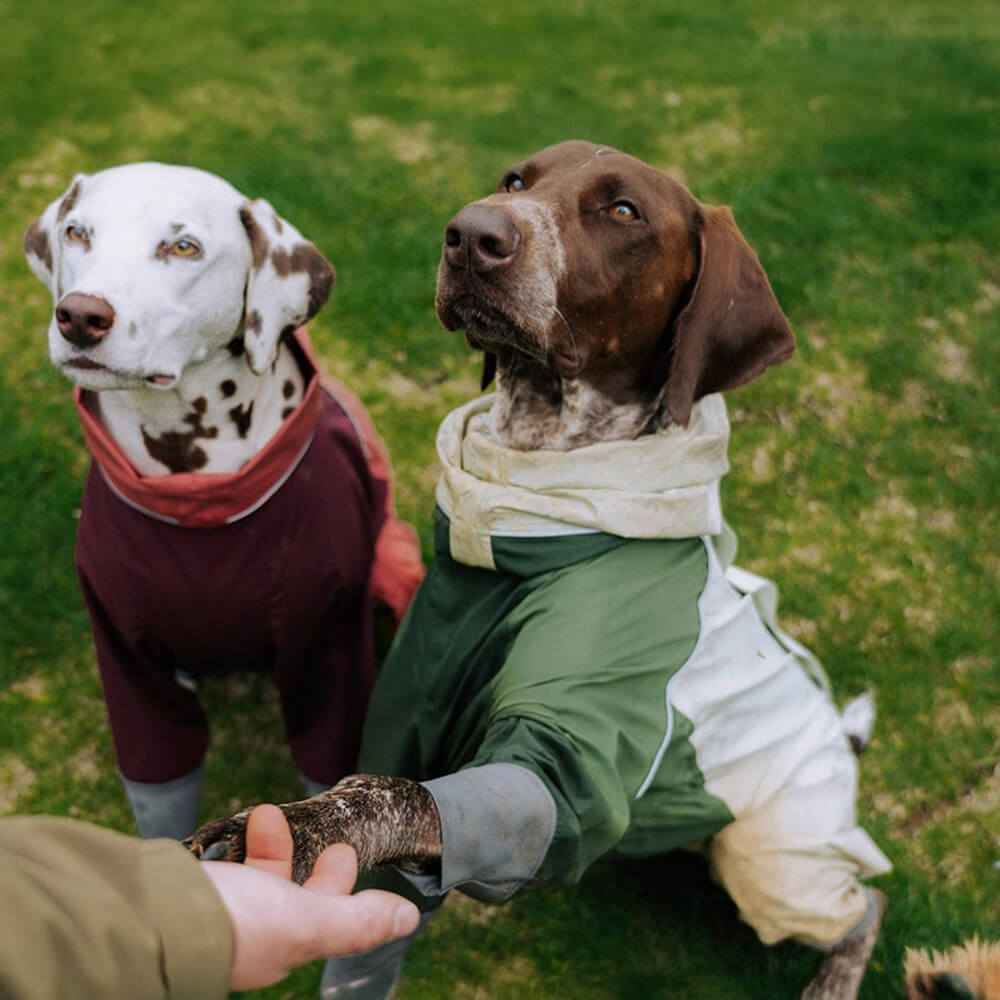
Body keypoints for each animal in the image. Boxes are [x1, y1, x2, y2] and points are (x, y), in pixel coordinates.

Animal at [189, 143, 892, 1000]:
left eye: (623, 211)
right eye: (515, 181)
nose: (470, 234)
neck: (540, 476)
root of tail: (841, 745)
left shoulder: (568, 747)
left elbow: (406, 795)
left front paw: (296, 829)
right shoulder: (419, 682)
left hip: (778, 861)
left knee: (864, 902)